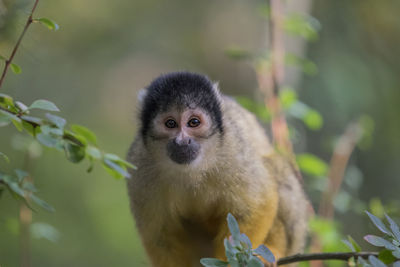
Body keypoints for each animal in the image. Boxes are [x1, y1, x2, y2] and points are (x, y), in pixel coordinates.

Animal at [126, 72, 308, 266]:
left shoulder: (233, 149)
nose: (182, 141)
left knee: (276, 169)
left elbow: (257, 204)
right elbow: (159, 234)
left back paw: (273, 251)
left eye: (194, 122)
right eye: (170, 124)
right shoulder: (139, 166)